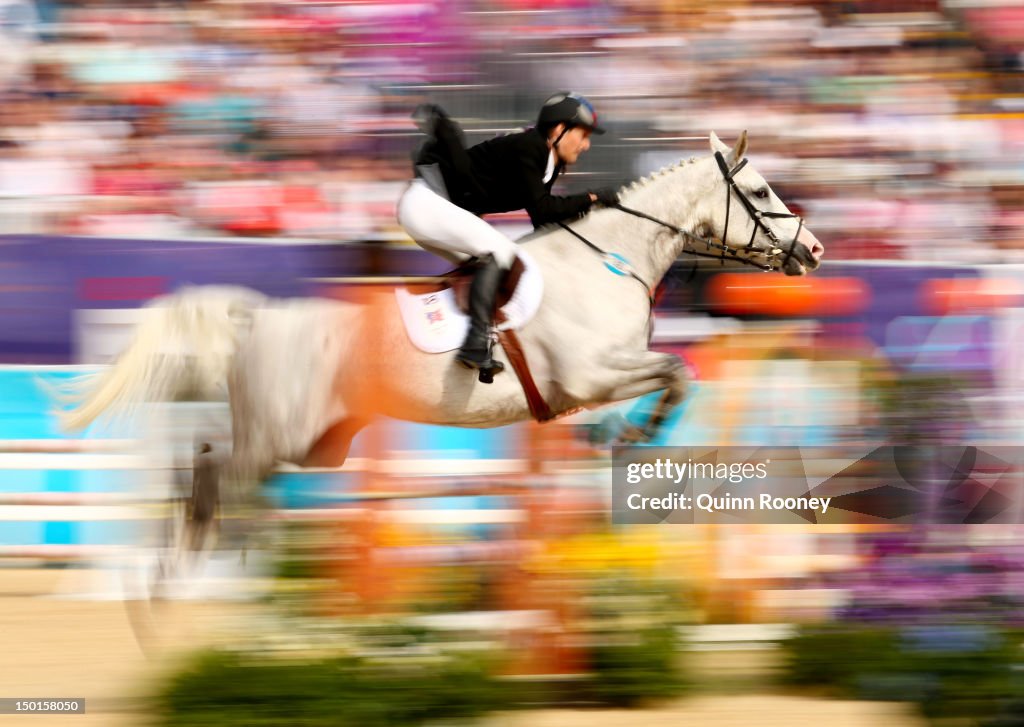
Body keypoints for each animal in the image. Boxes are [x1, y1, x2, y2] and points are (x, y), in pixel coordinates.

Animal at [61, 132, 823, 495]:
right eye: (759, 190)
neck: (613, 256)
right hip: (279, 434)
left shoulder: (605, 372)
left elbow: (678, 373)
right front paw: (634, 433)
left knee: (212, 460)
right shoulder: (594, 373)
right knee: (215, 468)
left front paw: (622, 434)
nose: (814, 250)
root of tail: (257, 319)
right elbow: (676, 373)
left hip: (314, 441)